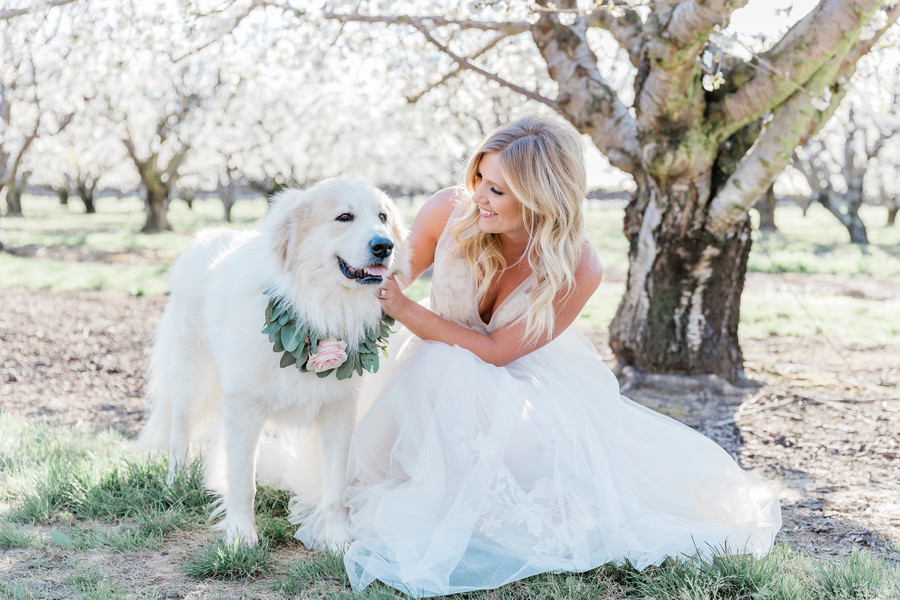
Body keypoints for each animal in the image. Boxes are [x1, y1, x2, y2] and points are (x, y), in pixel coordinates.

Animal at [137, 178, 408, 548]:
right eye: (344, 217)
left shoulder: (338, 410)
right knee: (180, 433)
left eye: (382, 217)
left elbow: (335, 487)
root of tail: (204, 238)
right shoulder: (245, 405)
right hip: (189, 378)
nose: (385, 245)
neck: (315, 307)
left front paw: (337, 540)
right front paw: (240, 536)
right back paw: (174, 483)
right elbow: (243, 482)